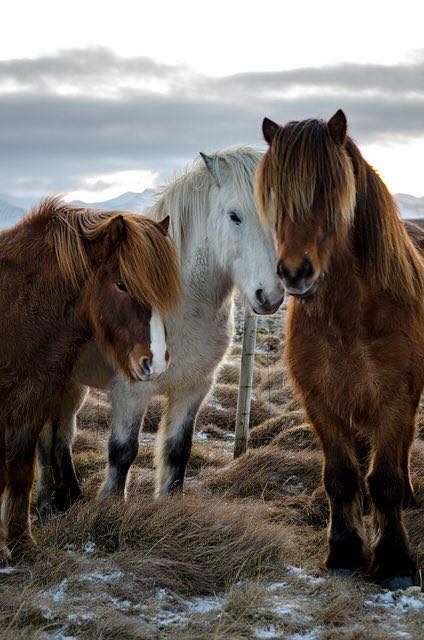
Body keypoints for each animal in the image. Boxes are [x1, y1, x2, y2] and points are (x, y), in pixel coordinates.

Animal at [0, 196, 181, 560]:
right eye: (121, 284)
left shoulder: (32, 401)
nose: (155, 362)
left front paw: (21, 543)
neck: (18, 309)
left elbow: (21, 470)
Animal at [34, 145, 284, 516]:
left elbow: (178, 450)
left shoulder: (194, 388)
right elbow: (123, 451)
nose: (270, 296)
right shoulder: (131, 391)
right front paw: (110, 506)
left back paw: (67, 498)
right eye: (234, 216)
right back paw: (48, 502)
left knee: (59, 434)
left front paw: (170, 504)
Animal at [256, 110, 424, 592]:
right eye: (275, 194)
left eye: (330, 189)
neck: (349, 317)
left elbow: (385, 478)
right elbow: (341, 477)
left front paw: (395, 562)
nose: (295, 272)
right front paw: (345, 553)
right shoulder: (321, 400)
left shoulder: (395, 397)